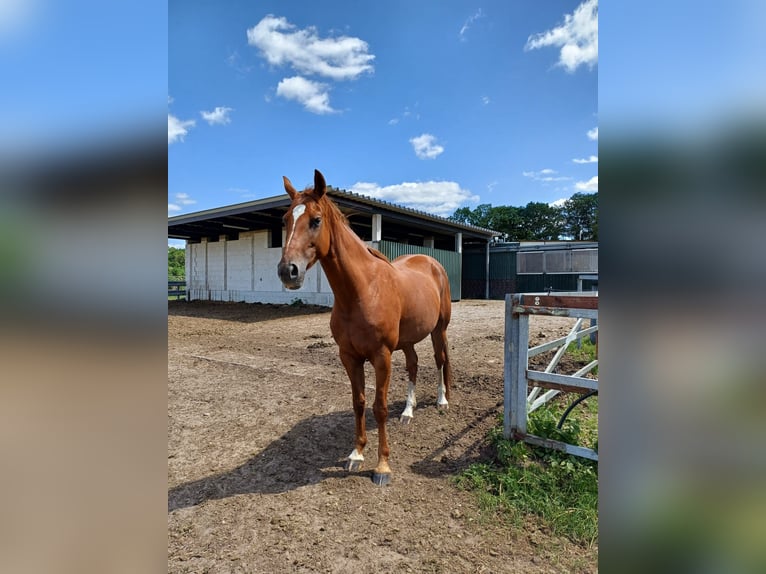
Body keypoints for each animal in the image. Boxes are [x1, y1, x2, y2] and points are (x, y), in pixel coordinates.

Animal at [277, 169, 453, 485]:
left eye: (316, 220)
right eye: (285, 219)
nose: (288, 271)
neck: (361, 290)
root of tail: (431, 262)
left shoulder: (381, 356)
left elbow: (379, 407)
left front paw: (382, 466)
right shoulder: (349, 357)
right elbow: (358, 402)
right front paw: (356, 454)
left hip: (439, 329)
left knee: (440, 360)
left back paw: (442, 400)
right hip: (408, 339)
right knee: (413, 364)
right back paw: (408, 412)